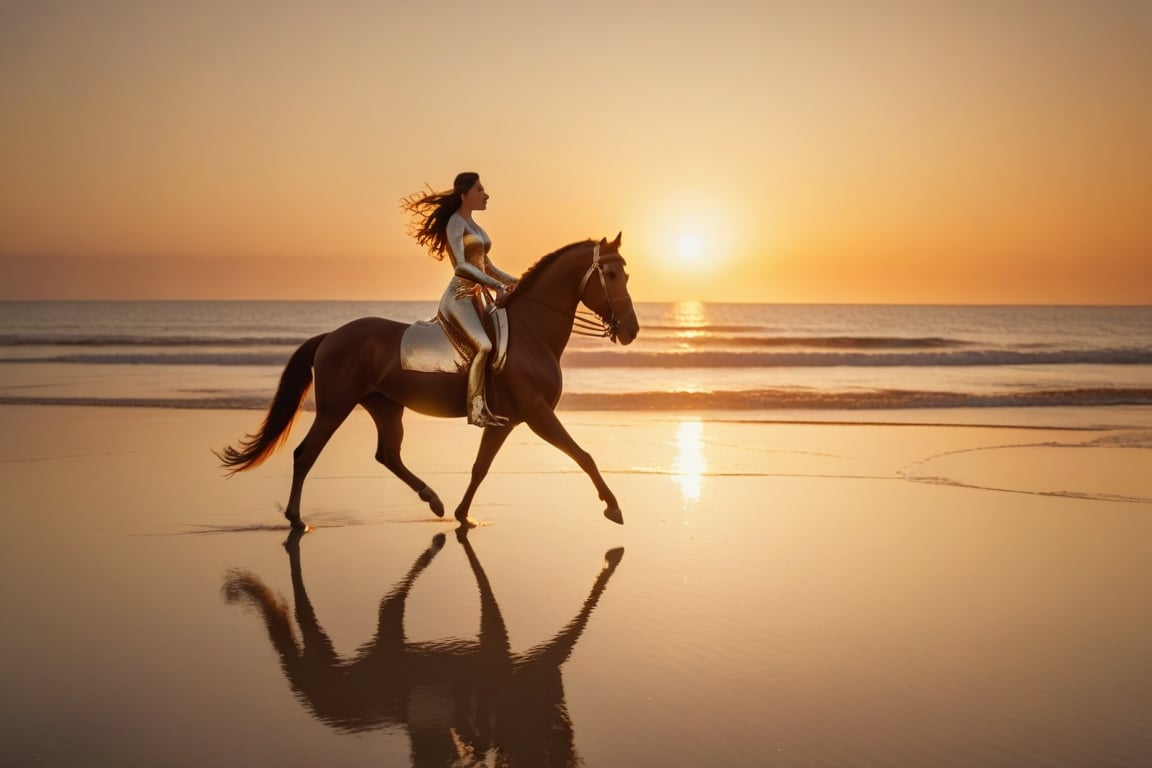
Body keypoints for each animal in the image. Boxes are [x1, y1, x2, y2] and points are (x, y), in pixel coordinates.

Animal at [216, 232, 640, 529]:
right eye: (612, 274)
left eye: (627, 273)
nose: (632, 330)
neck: (530, 334)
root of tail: (332, 336)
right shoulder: (538, 415)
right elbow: (583, 455)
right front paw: (614, 507)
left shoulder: (504, 422)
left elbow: (480, 467)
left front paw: (463, 513)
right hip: (335, 408)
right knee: (306, 454)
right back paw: (296, 519)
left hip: (386, 407)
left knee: (387, 455)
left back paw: (433, 500)